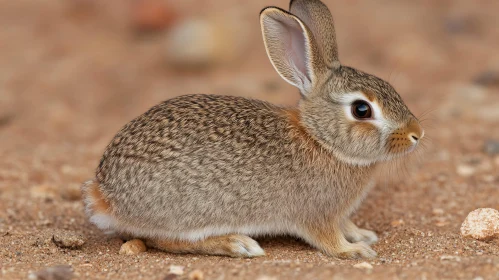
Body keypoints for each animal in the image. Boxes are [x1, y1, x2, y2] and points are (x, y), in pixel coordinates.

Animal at [80, 0, 424, 260]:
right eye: (361, 110)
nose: (416, 134)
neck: (321, 140)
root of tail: (104, 194)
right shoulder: (317, 215)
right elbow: (327, 239)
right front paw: (353, 252)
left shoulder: (338, 213)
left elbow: (347, 224)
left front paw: (363, 235)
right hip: (189, 213)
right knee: (166, 240)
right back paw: (238, 244)